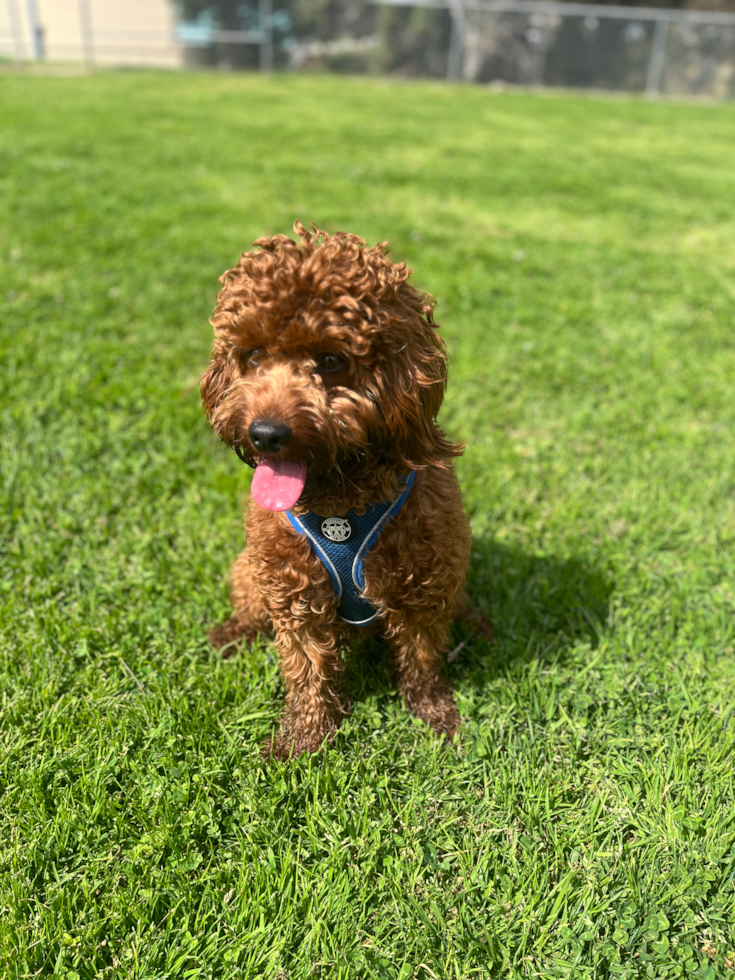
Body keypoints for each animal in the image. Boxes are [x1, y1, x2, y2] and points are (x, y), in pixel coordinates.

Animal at [198, 222, 484, 756]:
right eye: (252, 355)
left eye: (331, 360)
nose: (265, 434)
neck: (342, 502)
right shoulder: (294, 592)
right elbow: (308, 671)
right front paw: (304, 738)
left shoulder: (423, 584)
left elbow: (422, 661)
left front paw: (436, 715)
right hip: (250, 570)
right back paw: (231, 633)